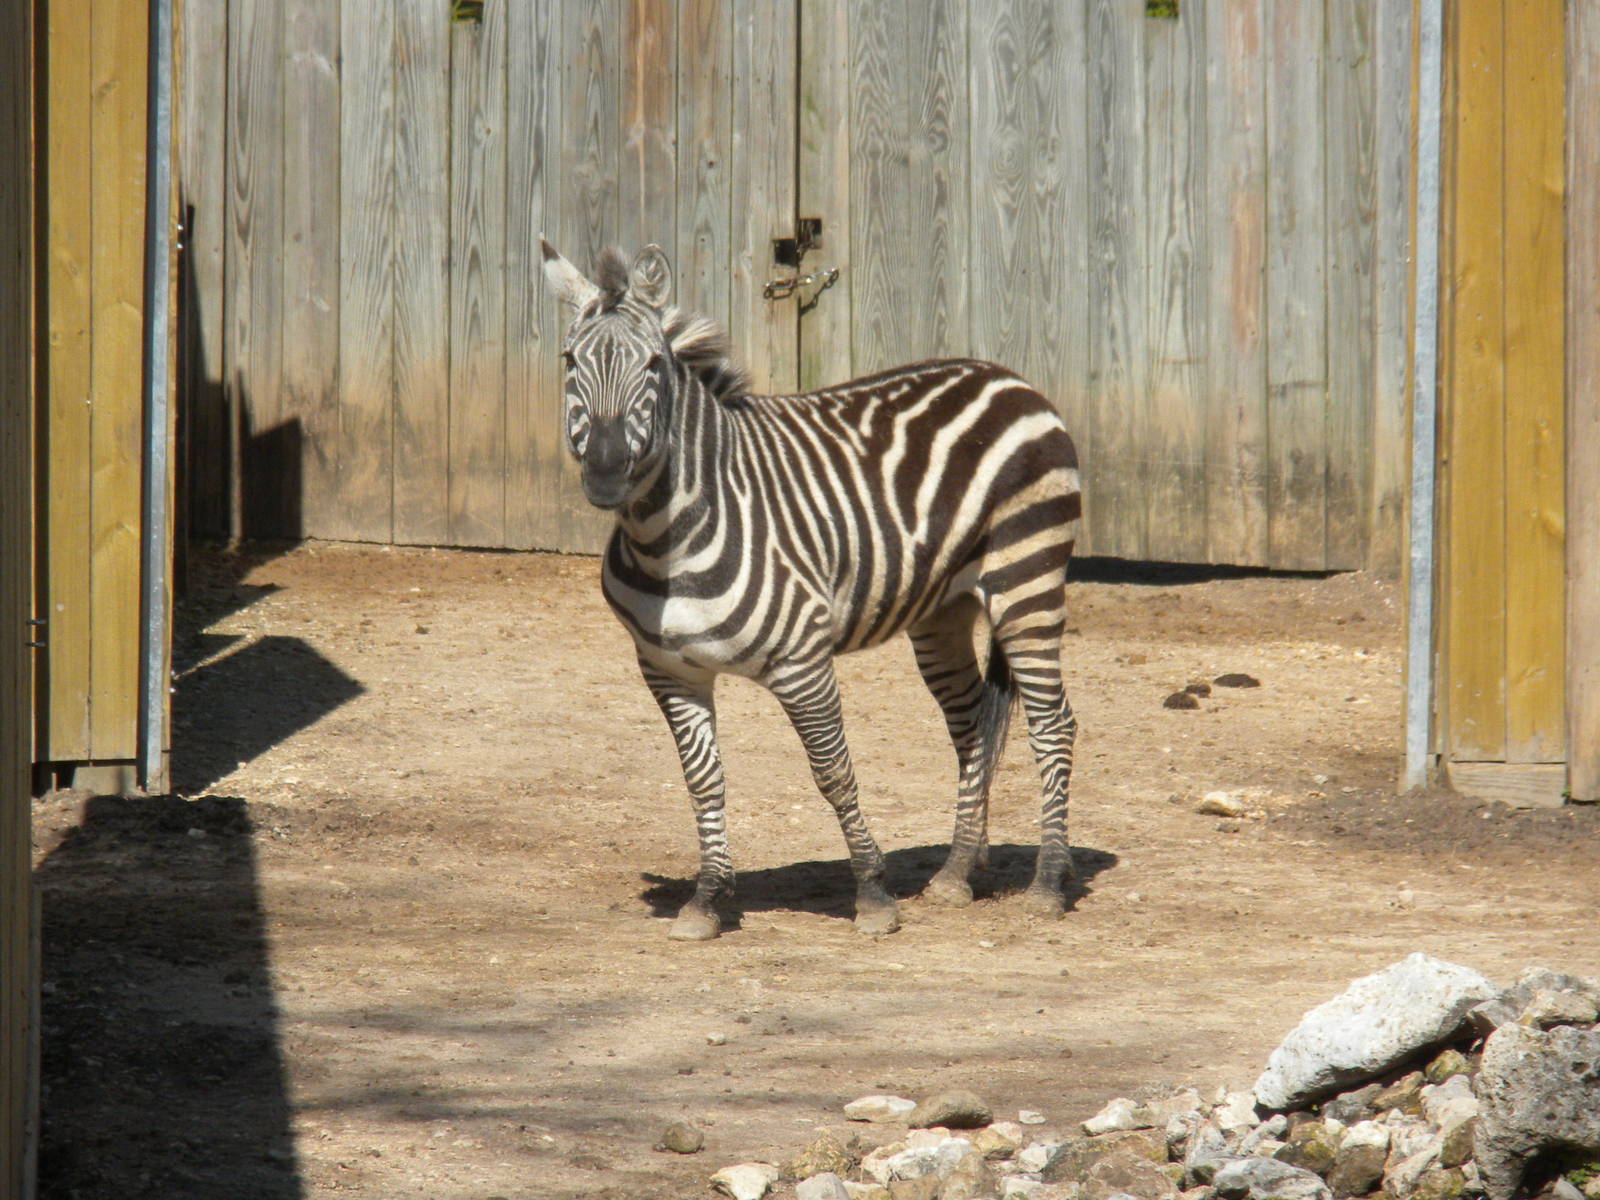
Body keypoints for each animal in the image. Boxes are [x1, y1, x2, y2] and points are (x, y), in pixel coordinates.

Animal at [541, 239, 1083, 941]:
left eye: (654, 365)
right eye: (570, 360)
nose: (606, 474)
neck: (666, 539)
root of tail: (1006, 377)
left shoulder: (802, 661)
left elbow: (833, 772)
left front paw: (873, 893)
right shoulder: (668, 670)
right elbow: (703, 781)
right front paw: (707, 899)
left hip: (1027, 580)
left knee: (1053, 723)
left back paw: (1048, 880)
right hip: (943, 607)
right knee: (970, 726)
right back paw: (957, 872)